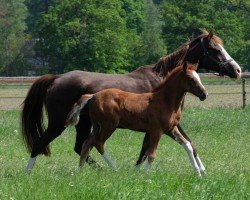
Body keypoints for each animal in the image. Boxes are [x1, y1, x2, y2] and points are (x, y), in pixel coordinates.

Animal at [66, 63, 207, 177]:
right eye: (191, 78)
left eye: (199, 77)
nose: (204, 94)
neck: (165, 101)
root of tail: (93, 96)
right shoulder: (156, 131)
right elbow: (151, 154)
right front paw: (145, 175)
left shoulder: (171, 129)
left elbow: (188, 145)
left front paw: (198, 173)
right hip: (108, 126)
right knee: (98, 142)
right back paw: (114, 167)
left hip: (97, 125)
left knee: (87, 143)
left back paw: (79, 170)